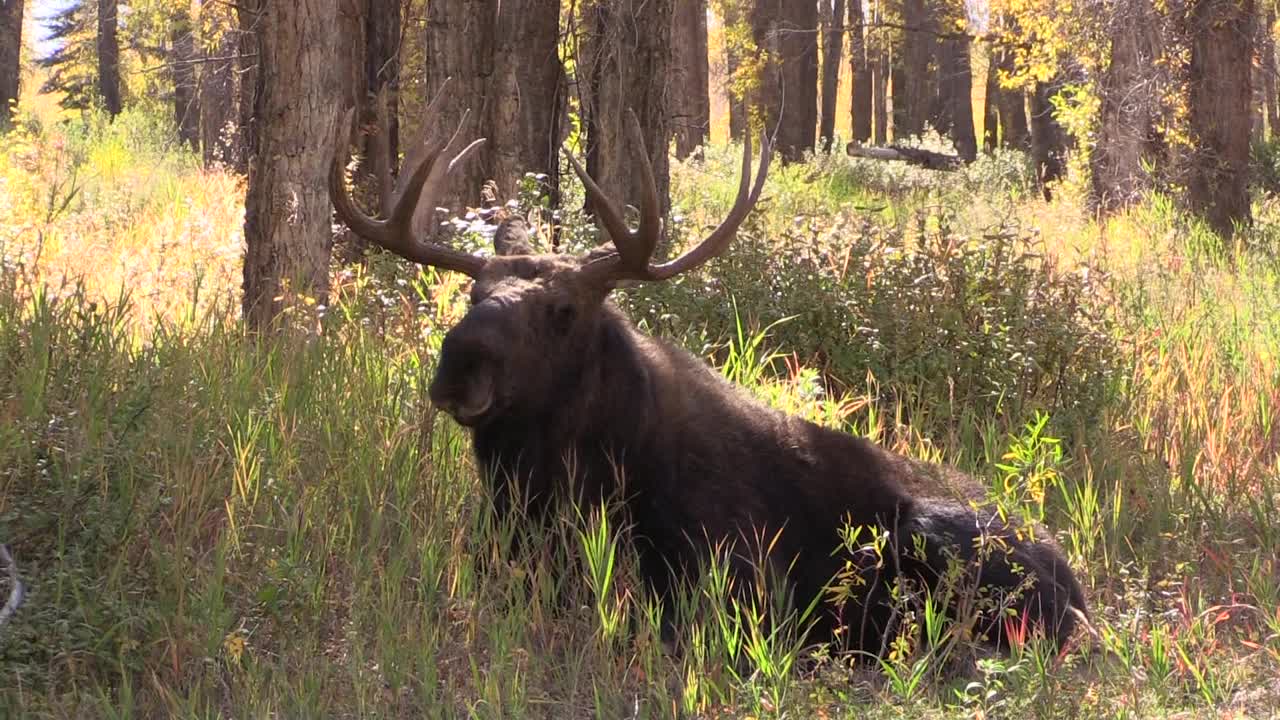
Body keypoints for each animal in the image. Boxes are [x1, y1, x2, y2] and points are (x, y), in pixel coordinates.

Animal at [325, 105, 1085, 650]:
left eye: (563, 310)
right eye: (473, 293)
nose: (459, 363)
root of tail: (1079, 592)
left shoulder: (735, 587)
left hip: (934, 535)